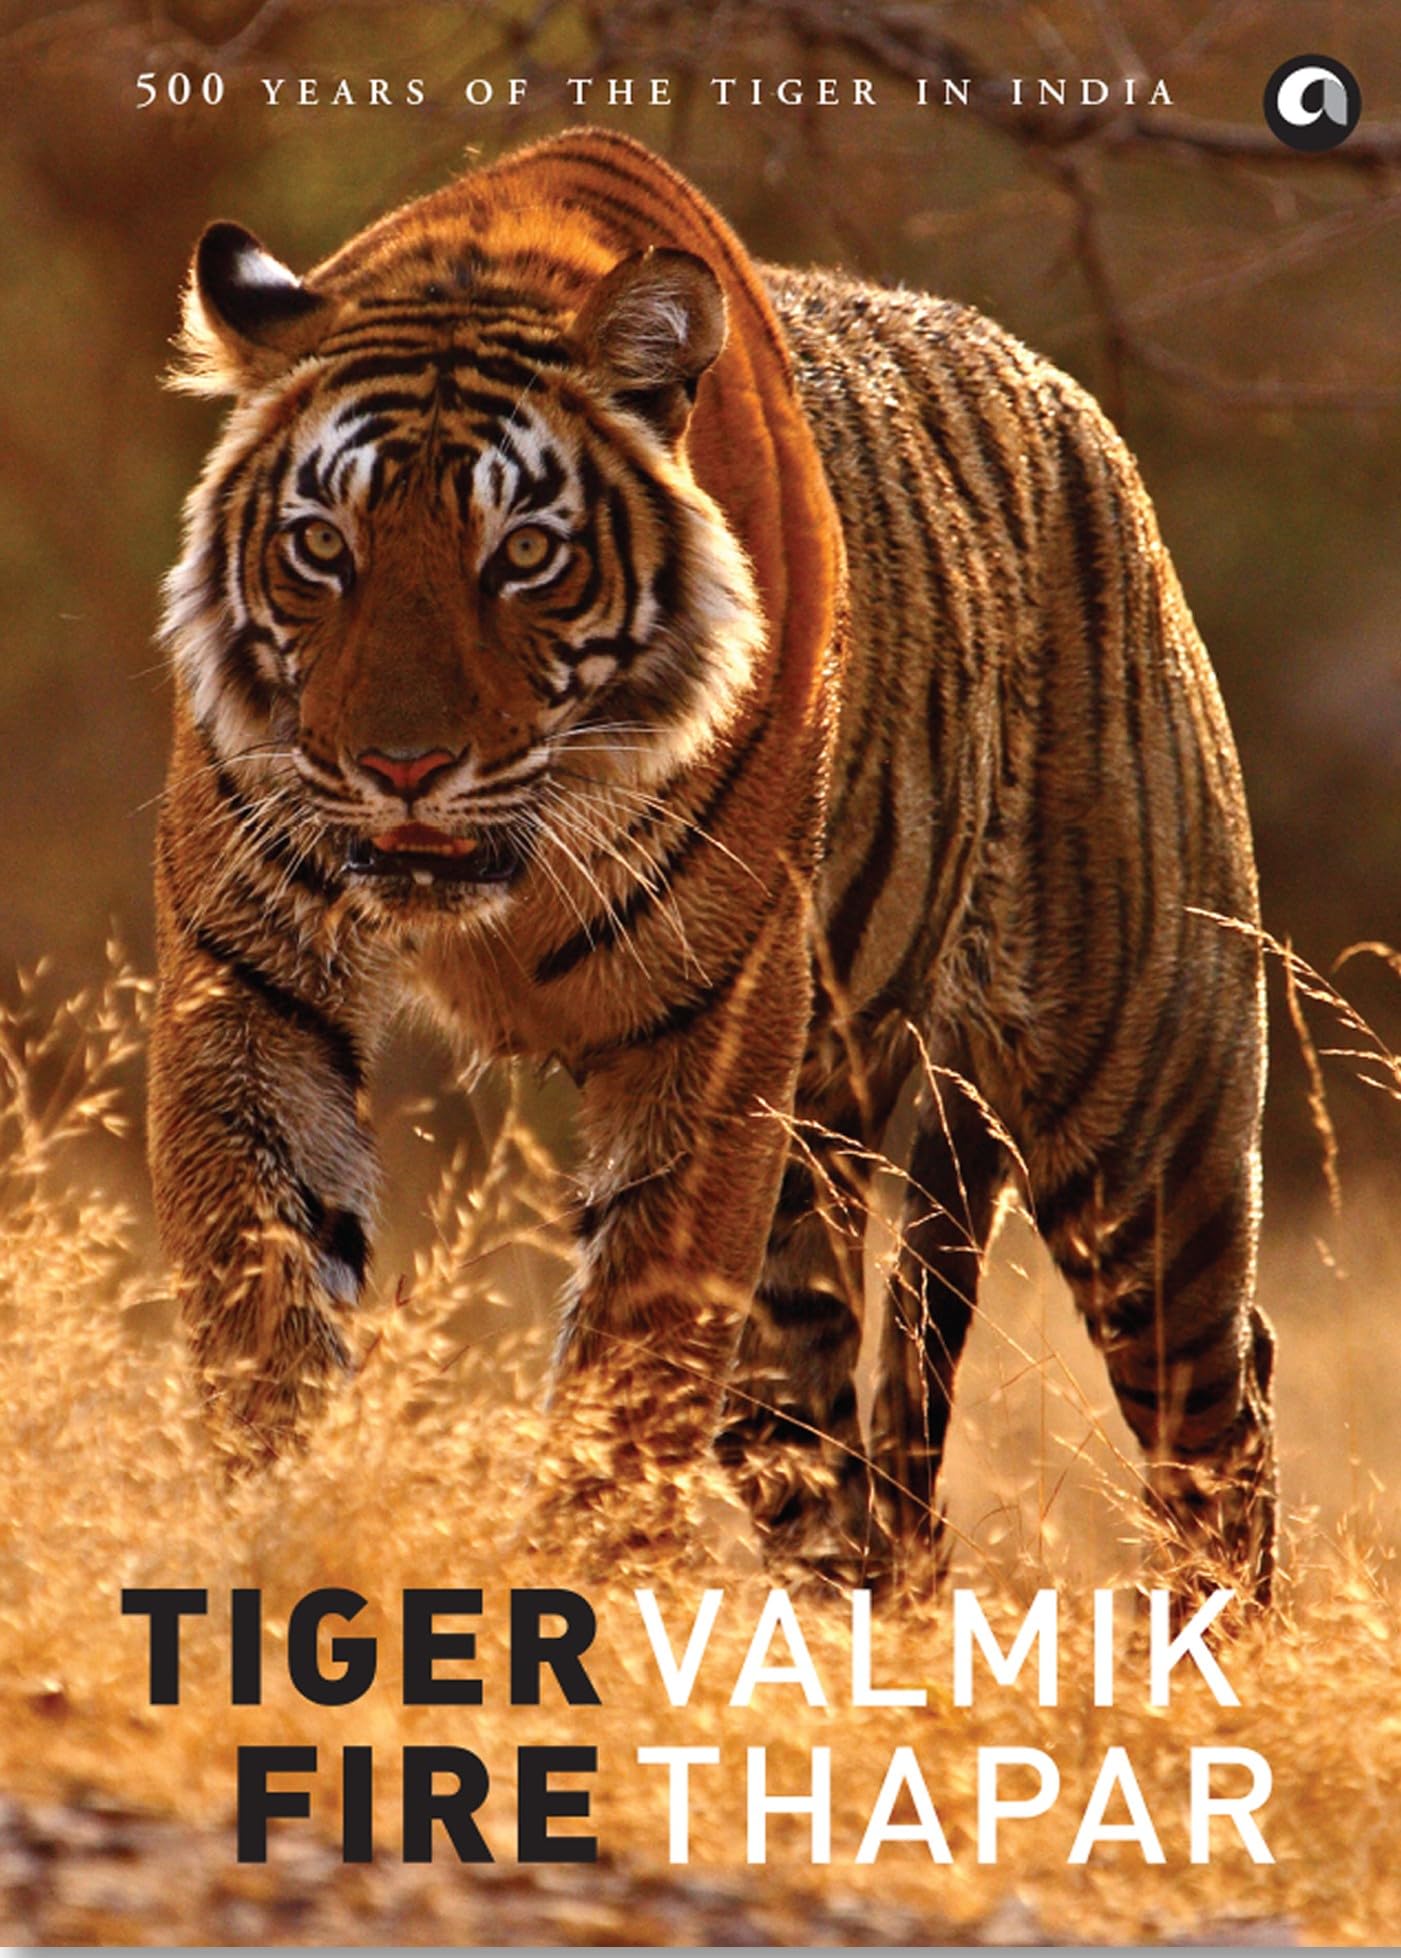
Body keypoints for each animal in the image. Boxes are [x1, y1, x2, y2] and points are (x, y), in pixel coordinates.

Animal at [151, 127, 1276, 1599]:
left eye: (525, 555)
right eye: (322, 548)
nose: (402, 766)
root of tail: (1071, 404)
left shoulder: (713, 1028)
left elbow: (628, 1378)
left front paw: (562, 1595)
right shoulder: (249, 984)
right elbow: (266, 1304)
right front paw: (288, 1544)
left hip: (1140, 1109)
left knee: (1221, 1415)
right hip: (812, 1218)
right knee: (871, 1500)